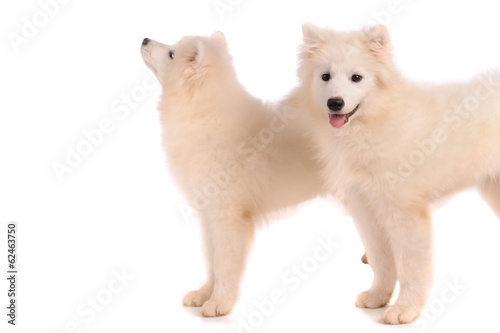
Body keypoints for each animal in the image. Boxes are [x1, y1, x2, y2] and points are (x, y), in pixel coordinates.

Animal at [141, 32, 328, 316]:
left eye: (172, 54)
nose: (144, 39)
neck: (203, 114)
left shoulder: (228, 217)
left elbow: (225, 263)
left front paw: (219, 304)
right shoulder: (208, 216)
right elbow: (211, 260)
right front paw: (203, 295)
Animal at [292, 24, 500, 324]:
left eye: (356, 78)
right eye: (325, 76)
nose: (335, 103)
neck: (374, 124)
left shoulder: (405, 213)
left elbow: (410, 267)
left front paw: (405, 310)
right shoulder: (365, 209)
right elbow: (381, 261)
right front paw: (377, 297)